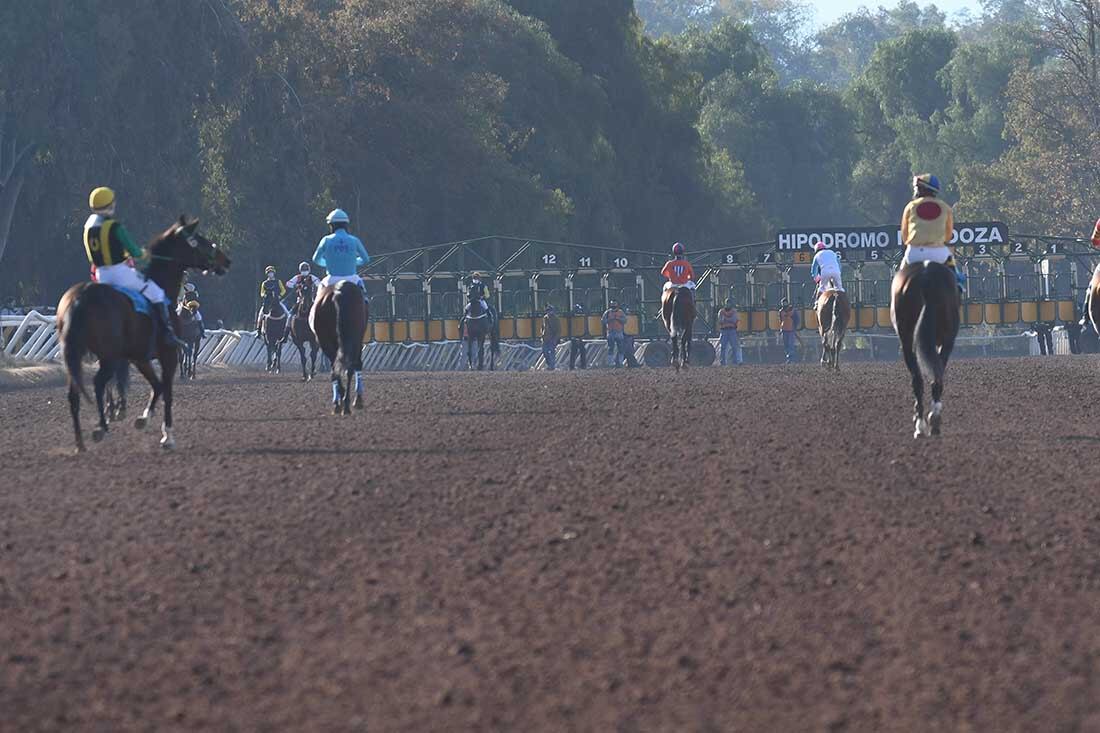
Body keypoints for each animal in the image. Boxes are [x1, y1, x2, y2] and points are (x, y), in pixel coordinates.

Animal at [55, 215, 229, 451]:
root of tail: (80, 298)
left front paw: (143, 418)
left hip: (76, 353)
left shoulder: (139, 357)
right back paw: (101, 426)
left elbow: (156, 386)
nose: (225, 260)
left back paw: (80, 442)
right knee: (99, 383)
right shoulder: (168, 353)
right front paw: (167, 436)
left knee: (74, 394)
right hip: (109, 355)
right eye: (199, 240)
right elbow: (166, 390)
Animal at [308, 279, 367, 413]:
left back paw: (341, 403)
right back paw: (346, 403)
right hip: (353, 339)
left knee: (336, 369)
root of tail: (337, 293)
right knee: (350, 367)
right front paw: (356, 400)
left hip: (326, 341)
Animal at [888, 259, 959, 435]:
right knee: (932, 376)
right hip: (945, 339)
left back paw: (922, 422)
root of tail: (926, 278)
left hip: (907, 340)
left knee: (918, 379)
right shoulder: (945, 341)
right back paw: (930, 420)